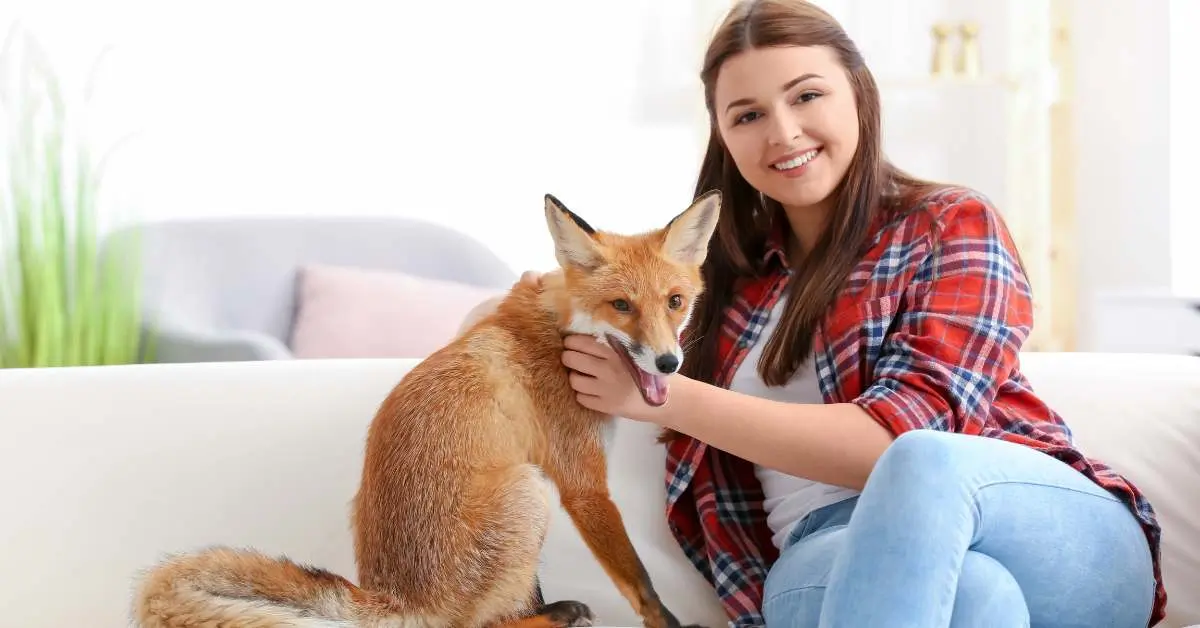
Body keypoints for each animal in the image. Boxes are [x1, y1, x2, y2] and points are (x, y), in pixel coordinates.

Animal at [131, 190, 723, 628]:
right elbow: (640, 582)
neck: (560, 329)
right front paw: (670, 624)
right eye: (622, 306)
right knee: (473, 625)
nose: (669, 362)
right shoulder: (582, 486)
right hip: (527, 490)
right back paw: (551, 616)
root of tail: (397, 600)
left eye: (675, 302)